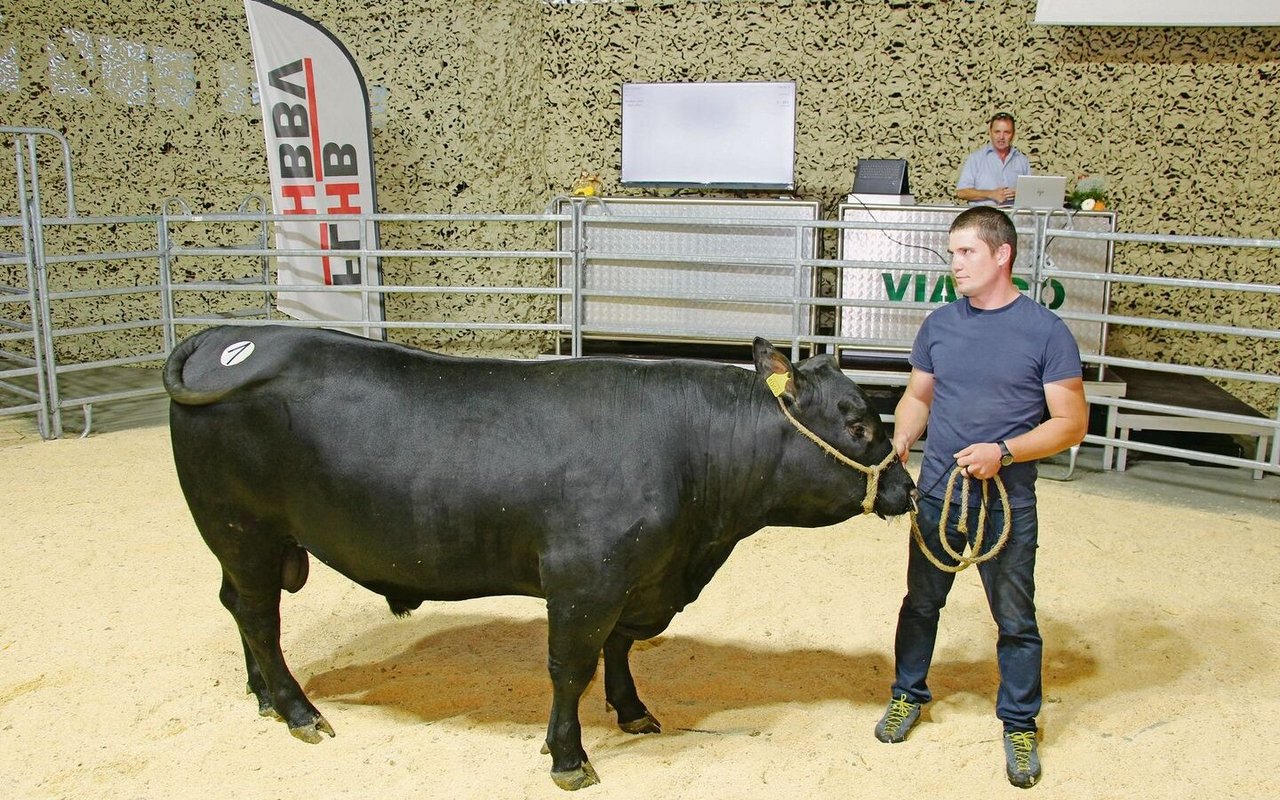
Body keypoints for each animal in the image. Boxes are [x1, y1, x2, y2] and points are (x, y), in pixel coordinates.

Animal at [165, 322, 916, 788]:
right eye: (857, 423)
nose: (907, 488)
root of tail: (228, 335)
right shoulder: (586, 584)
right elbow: (570, 667)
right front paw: (569, 757)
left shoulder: (635, 580)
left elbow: (619, 649)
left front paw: (632, 710)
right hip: (244, 529)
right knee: (260, 616)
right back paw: (298, 712)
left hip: (243, 543)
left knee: (242, 609)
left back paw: (263, 696)